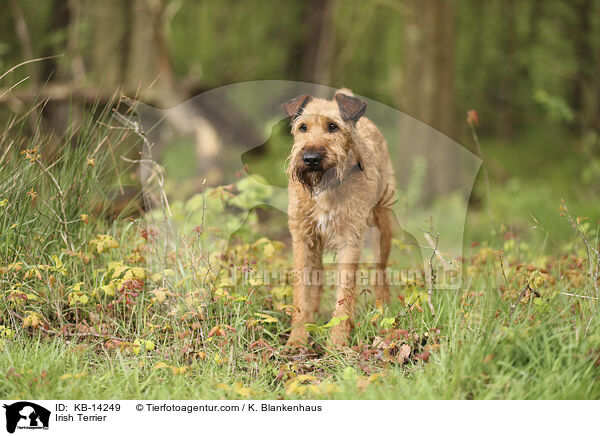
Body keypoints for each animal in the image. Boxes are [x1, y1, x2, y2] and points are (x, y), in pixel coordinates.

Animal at [282, 88, 396, 348]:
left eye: (333, 127)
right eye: (302, 127)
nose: (310, 158)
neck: (326, 187)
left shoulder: (349, 240)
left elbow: (345, 294)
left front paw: (337, 343)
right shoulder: (303, 238)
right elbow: (302, 291)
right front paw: (298, 339)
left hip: (383, 229)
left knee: (380, 274)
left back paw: (384, 314)